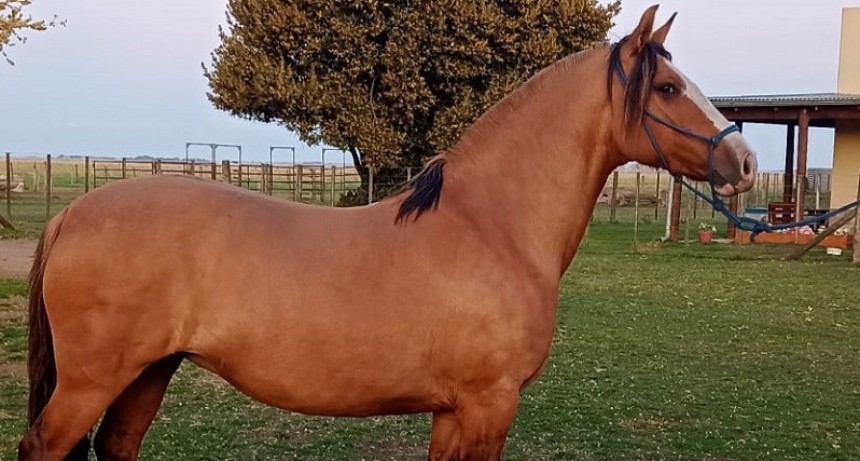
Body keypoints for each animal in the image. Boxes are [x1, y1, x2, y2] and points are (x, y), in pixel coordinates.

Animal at [18, 5, 757, 461]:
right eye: (666, 88)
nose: (745, 162)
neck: (492, 226)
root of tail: (71, 215)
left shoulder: (453, 411)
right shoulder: (488, 405)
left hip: (148, 372)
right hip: (91, 381)